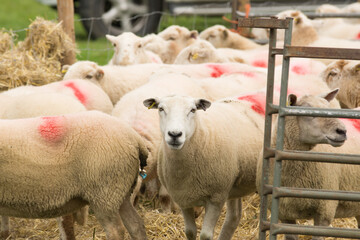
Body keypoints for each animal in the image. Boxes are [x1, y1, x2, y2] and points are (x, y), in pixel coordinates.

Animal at [143, 94, 264, 240]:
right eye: (161, 109)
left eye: (193, 110)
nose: (175, 134)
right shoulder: (183, 198)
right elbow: (190, 231)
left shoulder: (216, 197)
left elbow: (205, 235)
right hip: (233, 184)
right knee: (233, 217)